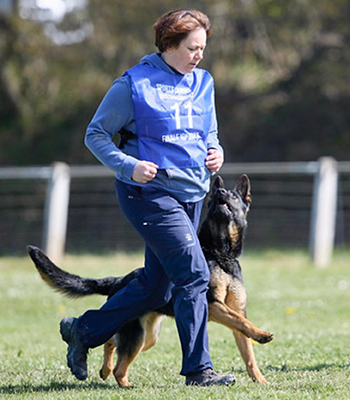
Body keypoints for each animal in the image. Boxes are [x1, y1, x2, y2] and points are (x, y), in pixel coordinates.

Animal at [27, 174, 274, 384]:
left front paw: (260, 380)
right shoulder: (213, 305)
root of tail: (120, 280)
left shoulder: (235, 311)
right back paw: (122, 382)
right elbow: (242, 322)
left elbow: (248, 351)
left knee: (111, 342)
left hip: (148, 337)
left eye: (233, 196)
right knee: (118, 361)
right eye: (214, 198)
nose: (220, 191)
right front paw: (262, 334)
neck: (220, 255)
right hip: (138, 337)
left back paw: (105, 370)